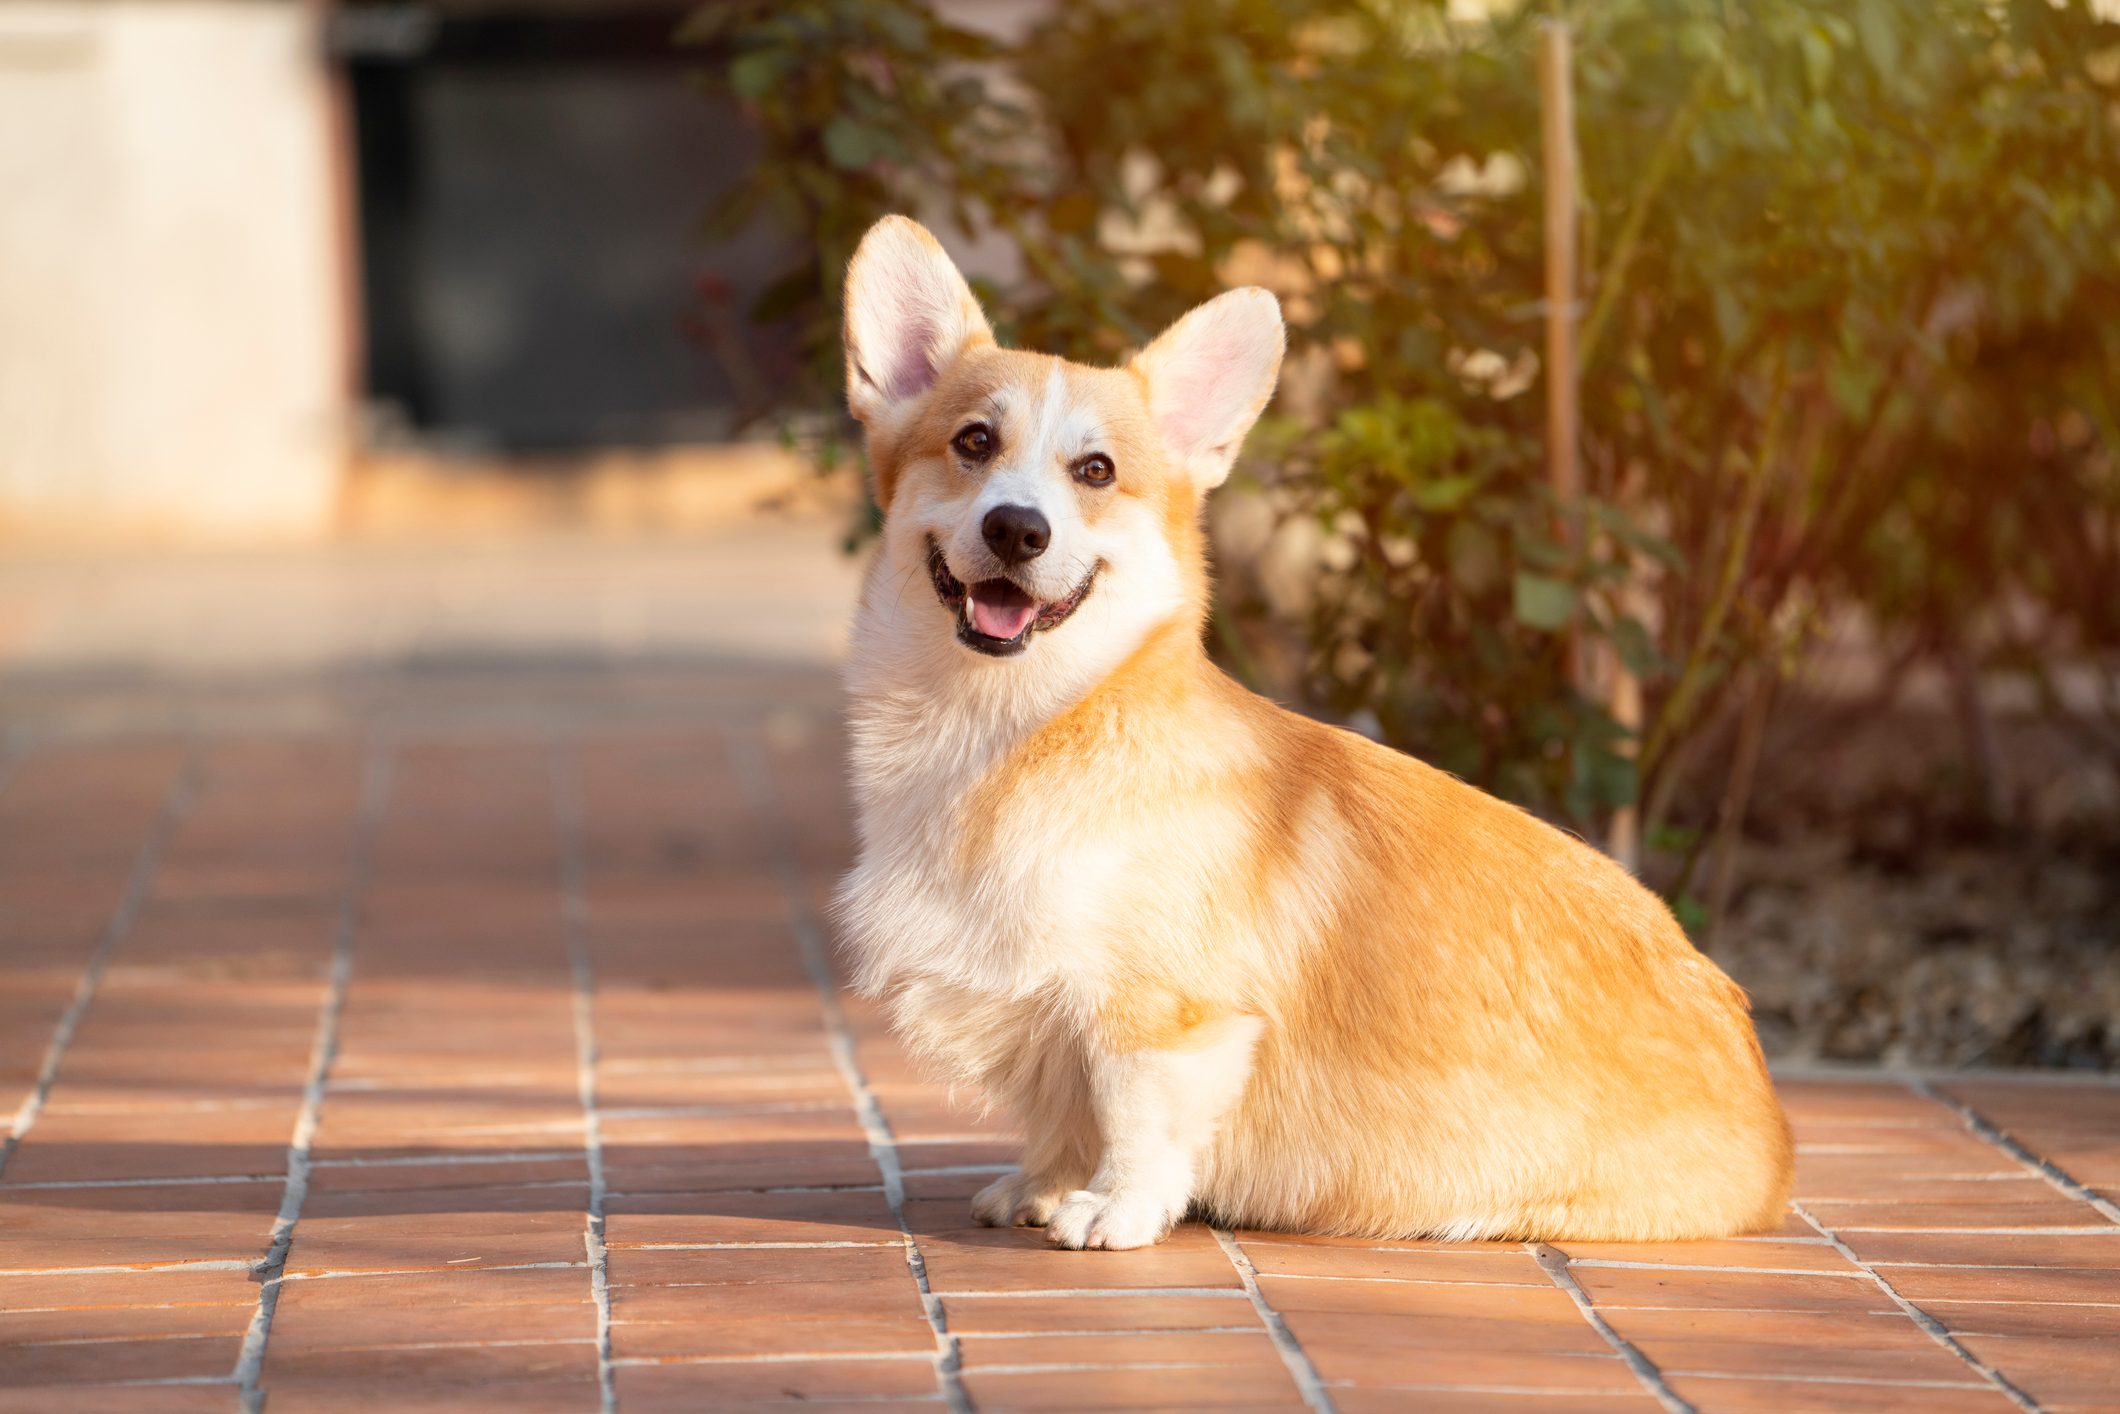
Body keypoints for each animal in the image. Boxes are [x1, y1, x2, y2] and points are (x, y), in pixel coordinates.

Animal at [831, 213, 1789, 1246]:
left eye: (1096, 472)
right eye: (973, 441)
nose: (1016, 529)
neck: (1006, 727)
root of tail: (1778, 1137)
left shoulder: (1158, 1014)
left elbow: (1130, 1111)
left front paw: (1114, 1209)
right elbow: (1063, 1114)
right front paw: (1043, 1185)